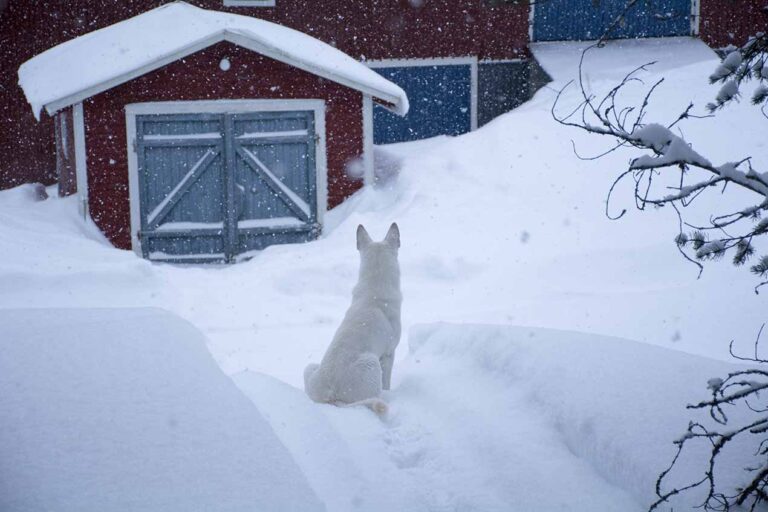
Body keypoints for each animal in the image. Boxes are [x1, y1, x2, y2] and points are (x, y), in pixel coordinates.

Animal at [304, 224, 404, 416]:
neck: (374, 289)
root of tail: (330, 396)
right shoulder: (388, 354)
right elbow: (387, 382)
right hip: (372, 362)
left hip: (310, 367)